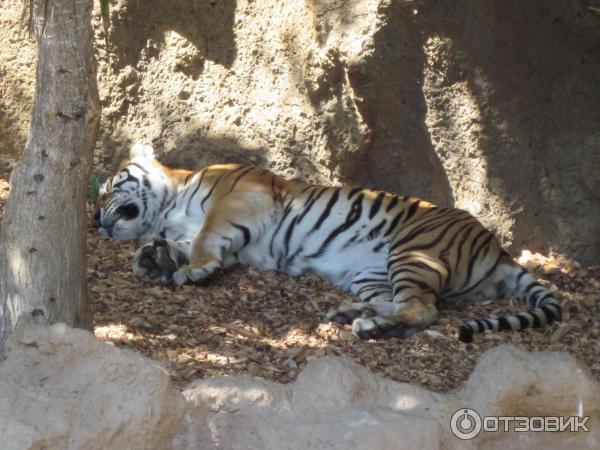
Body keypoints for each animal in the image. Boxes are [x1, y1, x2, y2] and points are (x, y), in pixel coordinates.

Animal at [94, 143, 564, 342]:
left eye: (109, 187)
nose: (96, 220)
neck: (169, 205)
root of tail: (498, 249)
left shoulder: (240, 197)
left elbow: (207, 236)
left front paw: (190, 268)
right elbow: (186, 246)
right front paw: (154, 259)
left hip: (414, 250)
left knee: (424, 309)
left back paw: (373, 327)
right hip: (372, 272)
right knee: (402, 302)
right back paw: (352, 314)